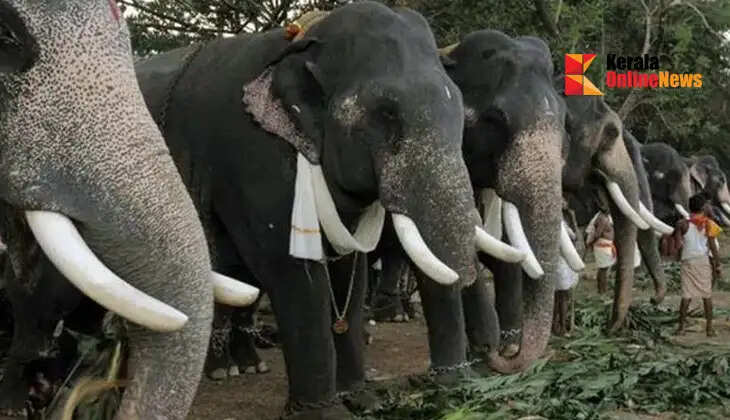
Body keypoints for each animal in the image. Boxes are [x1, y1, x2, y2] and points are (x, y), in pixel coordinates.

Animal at [133, 3, 515, 418]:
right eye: (386, 114)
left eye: (462, 113)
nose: (482, 366)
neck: (306, 40)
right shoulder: (254, 155)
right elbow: (293, 269)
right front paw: (325, 412)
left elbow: (350, 267)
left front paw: (362, 399)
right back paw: (218, 372)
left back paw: (246, 366)